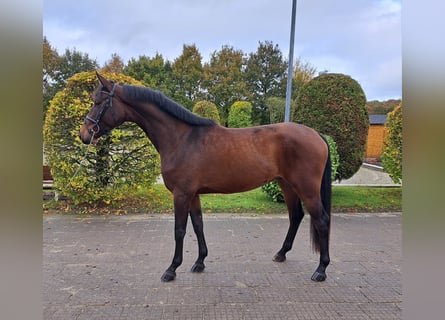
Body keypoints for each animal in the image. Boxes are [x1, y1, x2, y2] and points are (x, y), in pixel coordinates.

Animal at [79, 72, 330, 282]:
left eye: (98, 102)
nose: (84, 134)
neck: (182, 138)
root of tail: (317, 134)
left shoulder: (181, 194)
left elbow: (180, 230)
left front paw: (171, 269)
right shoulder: (193, 194)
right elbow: (198, 225)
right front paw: (199, 262)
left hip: (307, 189)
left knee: (321, 220)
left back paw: (321, 270)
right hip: (286, 185)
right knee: (296, 216)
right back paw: (281, 253)